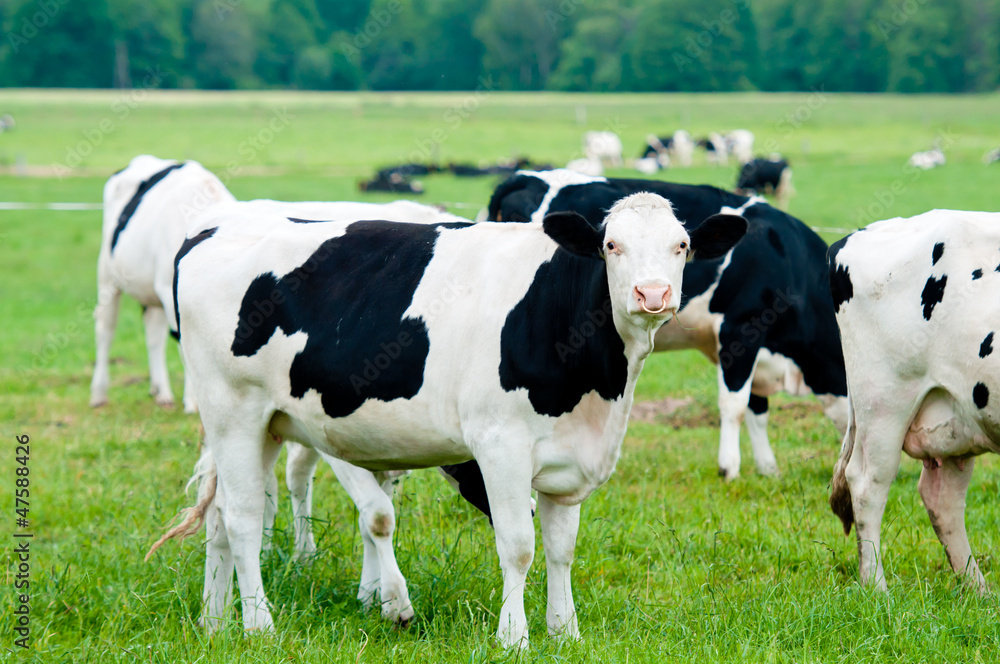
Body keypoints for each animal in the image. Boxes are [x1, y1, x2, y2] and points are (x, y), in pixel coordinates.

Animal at [92, 158, 236, 412]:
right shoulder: (171, 295)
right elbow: (185, 345)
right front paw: (194, 401)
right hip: (108, 276)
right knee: (105, 330)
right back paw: (99, 394)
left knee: (153, 335)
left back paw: (161, 392)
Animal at [146, 192, 744, 648]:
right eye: (611, 246)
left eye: (681, 245)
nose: (653, 294)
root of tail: (214, 227)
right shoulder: (500, 443)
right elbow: (518, 546)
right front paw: (514, 638)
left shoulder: (568, 458)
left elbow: (562, 549)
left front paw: (565, 631)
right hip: (232, 411)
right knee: (244, 518)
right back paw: (260, 626)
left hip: (265, 422)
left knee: (219, 515)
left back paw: (215, 621)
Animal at [488, 170, 848, 482]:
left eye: (683, 245)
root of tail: (523, 176)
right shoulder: (742, 328)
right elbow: (735, 405)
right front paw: (729, 469)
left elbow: (758, 409)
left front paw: (768, 469)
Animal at [824, 209, 1000, 592]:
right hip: (883, 401)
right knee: (866, 484)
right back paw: (876, 587)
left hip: (957, 415)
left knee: (942, 499)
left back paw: (977, 591)